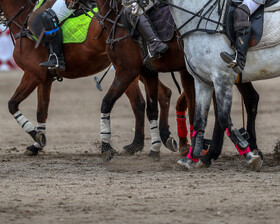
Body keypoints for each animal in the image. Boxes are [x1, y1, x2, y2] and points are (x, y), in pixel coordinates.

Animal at [0, 0, 178, 156]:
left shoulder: (32, 75)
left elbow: (12, 105)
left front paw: (36, 136)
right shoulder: (44, 79)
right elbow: (41, 112)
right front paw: (37, 144)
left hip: (128, 68)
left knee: (141, 102)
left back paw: (142, 143)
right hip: (135, 68)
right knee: (160, 94)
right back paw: (158, 139)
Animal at [167, 0, 280, 172]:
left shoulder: (222, 78)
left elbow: (223, 117)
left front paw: (250, 156)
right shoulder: (202, 81)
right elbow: (200, 119)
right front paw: (189, 159)